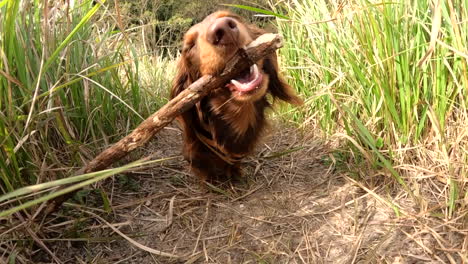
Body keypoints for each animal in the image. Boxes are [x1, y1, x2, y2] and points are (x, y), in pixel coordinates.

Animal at [170, 11, 302, 183]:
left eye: (231, 16)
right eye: (190, 46)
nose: (224, 29)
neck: (237, 115)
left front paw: (235, 173)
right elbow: (204, 168)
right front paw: (211, 181)